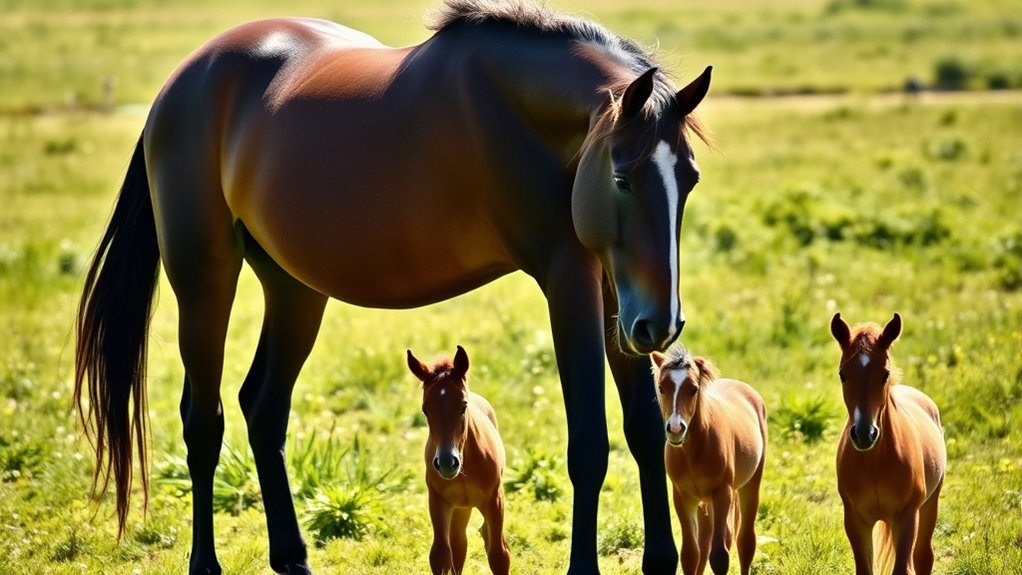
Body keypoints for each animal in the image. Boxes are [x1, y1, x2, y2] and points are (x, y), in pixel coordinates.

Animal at [407, 345, 510, 575]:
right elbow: (441, 555)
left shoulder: (495, 500)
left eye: (463, 406)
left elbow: (499, 555)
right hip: (461, 509)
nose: (447, 463)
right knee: (459, 545)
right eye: (425, 409)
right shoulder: (438, 501)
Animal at [650, 347, 766, 575]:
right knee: (704, 544)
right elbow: (690, 554)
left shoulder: (723, 493)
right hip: (705, 502)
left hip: (749, 485)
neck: (694, 452)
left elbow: (720, 555)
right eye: (661, 387)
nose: (675, 429)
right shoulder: (683, 497)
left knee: (745, 542)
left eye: (693, 389)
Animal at [830, 313, 946, 575]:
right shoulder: (855, 520)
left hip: (928, 506)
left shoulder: (907, 516)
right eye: (842, 375)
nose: (865, 434)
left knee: (923, 557)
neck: (876, 462)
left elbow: (903, 567)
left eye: (884, 374)